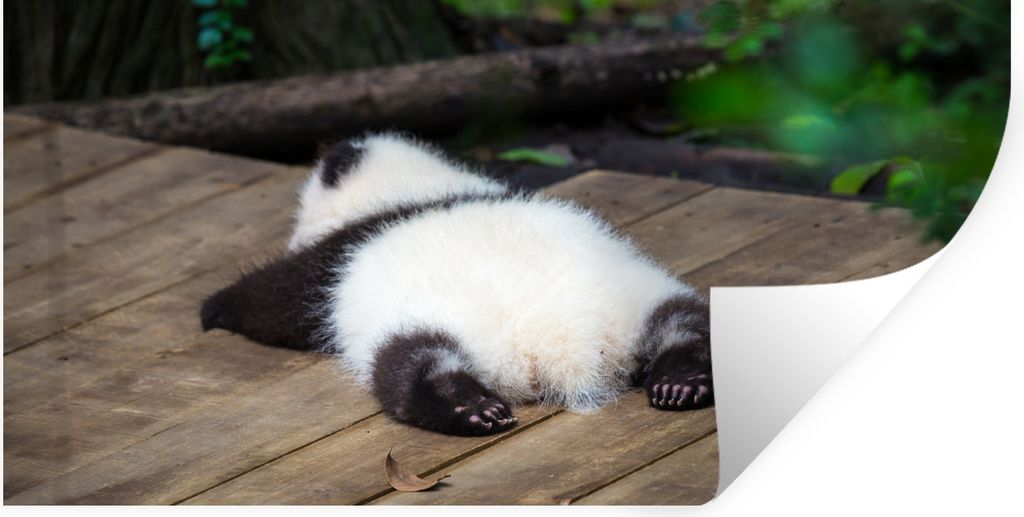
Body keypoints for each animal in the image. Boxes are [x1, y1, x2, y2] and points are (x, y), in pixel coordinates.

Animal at [200, 133, 713, 436]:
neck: (412, 188)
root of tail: (566, 344)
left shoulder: (336, 258)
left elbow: (277, 301)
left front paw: (214, 308)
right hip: (639, 297)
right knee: (687, 323)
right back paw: (681, 382)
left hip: (429, 324)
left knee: (409, 365)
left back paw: (469, 408)